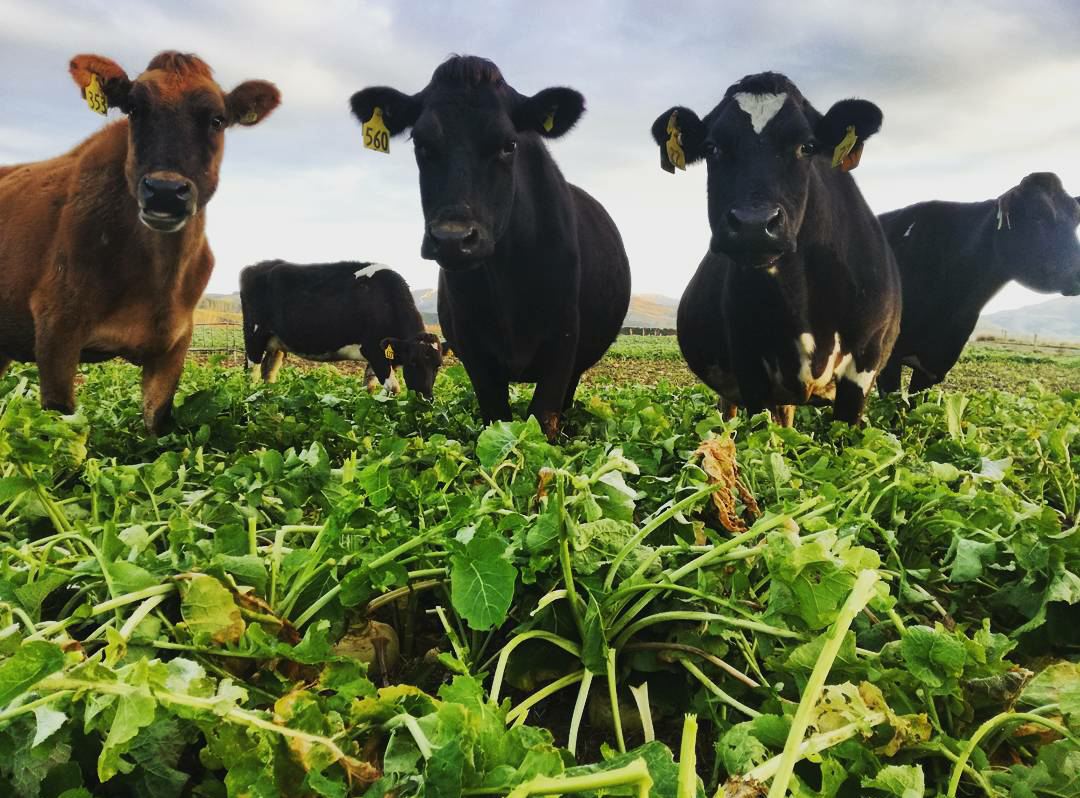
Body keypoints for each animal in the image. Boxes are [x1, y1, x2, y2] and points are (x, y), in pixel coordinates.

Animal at [0, 51, 282, 429]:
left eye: (217, 120)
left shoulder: (175, 342)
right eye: (133, 108)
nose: (164, 191)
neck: (156, 275)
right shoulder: (55, 329)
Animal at [239, 260, 442, 397]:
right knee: (252, 373)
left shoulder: (377, 356)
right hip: (254, 335)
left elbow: (369, 388)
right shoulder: (374, 351)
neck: (386, 301)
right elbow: (394, 389)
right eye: (413, 362)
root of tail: (255, 267)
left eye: (438, 365)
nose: (426, 398)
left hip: (276, 344)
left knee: (269, 373)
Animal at [345, 54, 630, 442]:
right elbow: (496, 417)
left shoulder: (564, 342)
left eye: (509, 144)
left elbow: (544, 418)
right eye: (420, 144)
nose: (453, 238)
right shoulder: (474, 351)